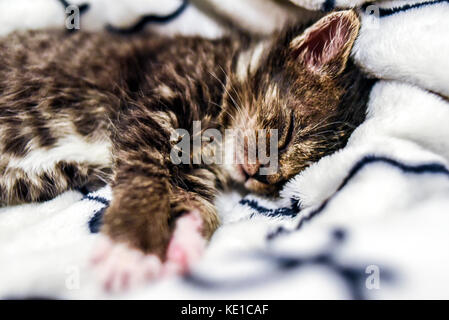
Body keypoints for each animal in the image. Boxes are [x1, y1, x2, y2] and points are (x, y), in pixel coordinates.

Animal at [0, 11, 372, 288]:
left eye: (286, 180)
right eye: (288, 131)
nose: (260, 176)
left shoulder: (190, 166)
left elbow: (191, 195)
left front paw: (188, 232)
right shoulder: (154, 111)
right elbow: (147, 180)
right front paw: (132, 246)